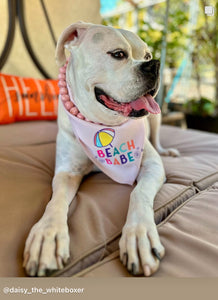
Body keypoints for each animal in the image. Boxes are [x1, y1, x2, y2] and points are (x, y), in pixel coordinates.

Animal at [23, 22, 179, 278]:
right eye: (118, 54)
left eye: (147, 56)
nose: (155, 64)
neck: (102, 125)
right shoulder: (67, 172)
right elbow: (56, 200)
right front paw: (48, 234)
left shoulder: (152, 166)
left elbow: (139, 193)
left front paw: (139, 234)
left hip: (156, 118)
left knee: (157, 138)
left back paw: (167, 150)